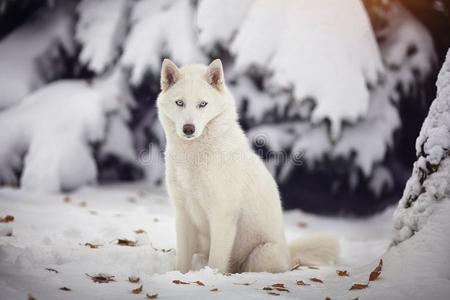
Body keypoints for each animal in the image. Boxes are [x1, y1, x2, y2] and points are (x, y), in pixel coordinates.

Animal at [158, 59, 338, 274]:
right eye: (180, 103)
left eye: (202, 104)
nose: (188, 129)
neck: (194, 157)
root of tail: (289, 255)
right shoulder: (183, 214)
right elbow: (182, 263)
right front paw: (181, 276)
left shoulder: (222, 215)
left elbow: (216, 261)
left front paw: (212, 276)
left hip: (262, 254)